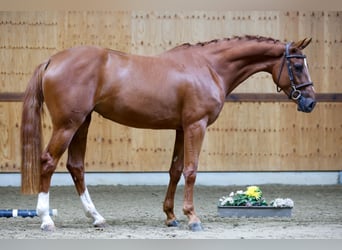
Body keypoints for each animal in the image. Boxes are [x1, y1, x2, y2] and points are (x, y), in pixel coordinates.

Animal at [20, 34, 316, 230]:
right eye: (297, 66)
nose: (310, 102)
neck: (209, 67)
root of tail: (52, 60)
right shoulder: (196, 125)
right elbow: (191, 170)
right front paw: (192, 218)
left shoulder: (181, 129)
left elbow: (175, 170)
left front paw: (171, 217)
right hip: (68, 125)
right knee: (48, 161)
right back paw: (46, 218)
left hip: (82, 123)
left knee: (76, 166)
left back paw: (96, 217)